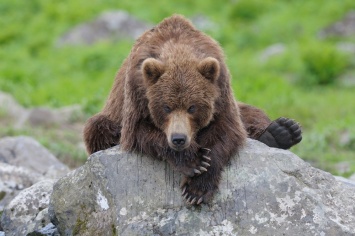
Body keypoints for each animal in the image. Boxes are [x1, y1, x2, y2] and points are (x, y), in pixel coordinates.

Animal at [84, 14, 304, 205]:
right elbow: (140, 131)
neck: (178, 48)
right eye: (166, 107)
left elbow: (227, 130)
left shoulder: (220, 89)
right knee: (97, 127)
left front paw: (197, 188)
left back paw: (282, 131)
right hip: (111, 114)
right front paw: (194, 160)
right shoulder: (138, 91)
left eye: (192, 107)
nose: (179, 138)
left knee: (252, 113)